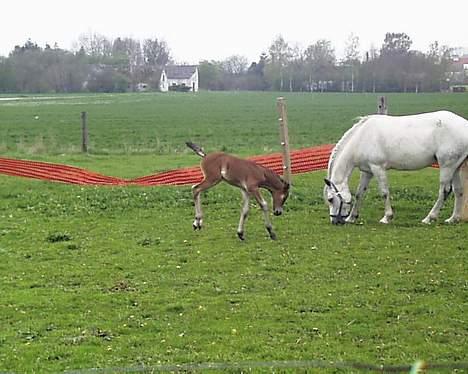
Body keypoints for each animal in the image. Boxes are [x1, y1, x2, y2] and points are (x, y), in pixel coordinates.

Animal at [324, 109, 468, 224]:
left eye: (330, 199)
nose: (335, 221)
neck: (362, 137)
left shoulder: (378, 168)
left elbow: (384, 192)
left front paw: (387, 217)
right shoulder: (367, 171)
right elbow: (360, 193)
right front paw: (352, 217)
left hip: (447, 166)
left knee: (444, 191)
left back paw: (429, 218)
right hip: (455, 167)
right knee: (458, 190)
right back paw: (453, 218)